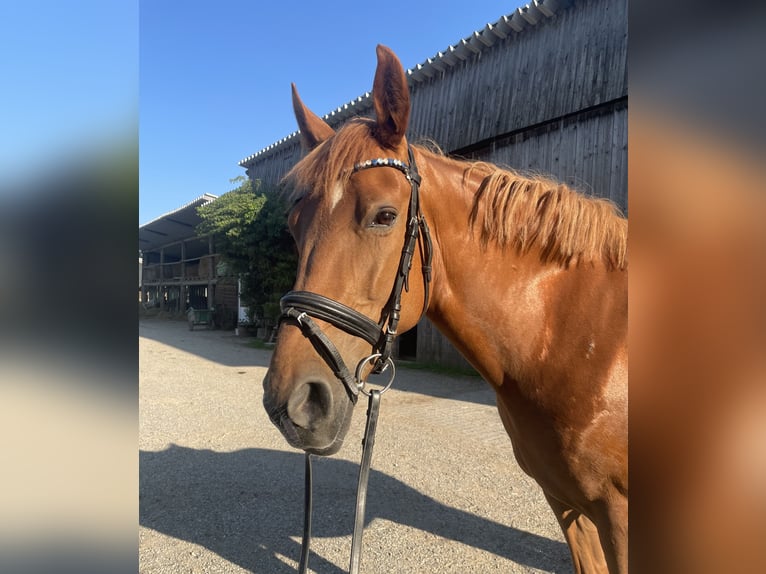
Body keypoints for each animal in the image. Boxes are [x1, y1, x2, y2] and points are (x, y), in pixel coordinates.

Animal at [262, 45, 628, 573]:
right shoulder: (567, 503)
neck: (576, 340)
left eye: (385, 215)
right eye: (294, 224)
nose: (291, 403)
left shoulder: (618, 515)